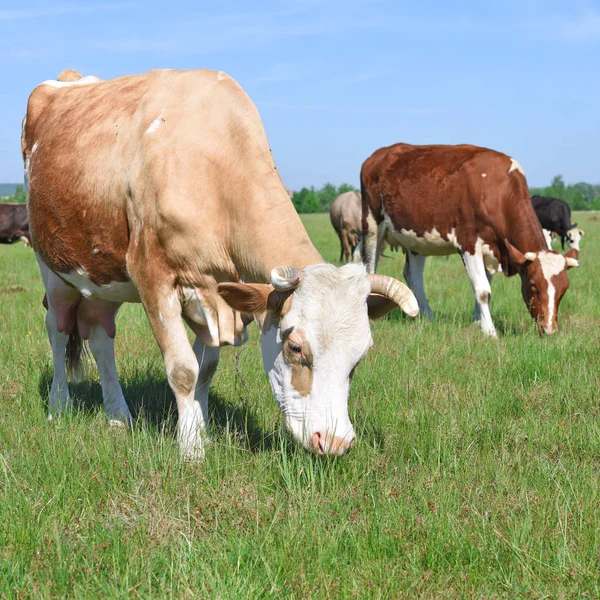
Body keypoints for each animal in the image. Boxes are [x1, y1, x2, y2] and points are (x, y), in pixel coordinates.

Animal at [23, 70, 418, 462]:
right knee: (57, 329)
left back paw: (119, 416)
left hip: (104, 276)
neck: (212, 164)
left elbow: (205, 371)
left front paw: (202, 432)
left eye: (360, 356)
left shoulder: (218, 293)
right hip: (52, 267)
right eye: (295, 348)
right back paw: (59, 406)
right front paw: (191, 450)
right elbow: (183, 370)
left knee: (100, 335)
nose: (335, 442)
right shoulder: (154, 279)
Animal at [358, 142, 580, 338]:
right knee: (370, 269)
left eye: (564, 289)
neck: (496, 191)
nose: (549, 329)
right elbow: (482, 290)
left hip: (416, 237)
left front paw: (477, 322)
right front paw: (490, 331)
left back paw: (428, 318)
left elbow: (484, 290)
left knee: (413, 277)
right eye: (533, 285)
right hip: (372, 225)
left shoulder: (493, 249)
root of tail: (378, 155)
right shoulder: (469, 243)